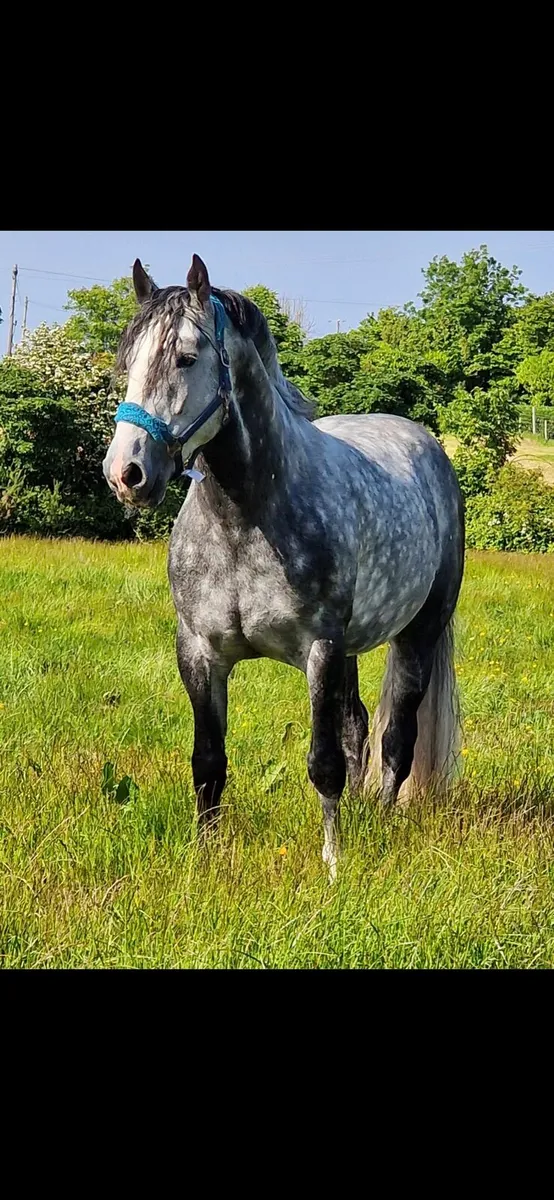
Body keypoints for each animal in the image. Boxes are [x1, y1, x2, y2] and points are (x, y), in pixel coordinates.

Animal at [103, 253, 465, 878]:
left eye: (187, 357)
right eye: (129, 360)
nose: (126, 472)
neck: (243, 521)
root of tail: (428, 448)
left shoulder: (319, 649)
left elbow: (324, 764)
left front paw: (333, 865)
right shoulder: (199, 653)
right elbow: (209, 762)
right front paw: (206, 858)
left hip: (416, 636)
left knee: (397, 738)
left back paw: (384, 823)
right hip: (351, 650)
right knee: (358, 725)